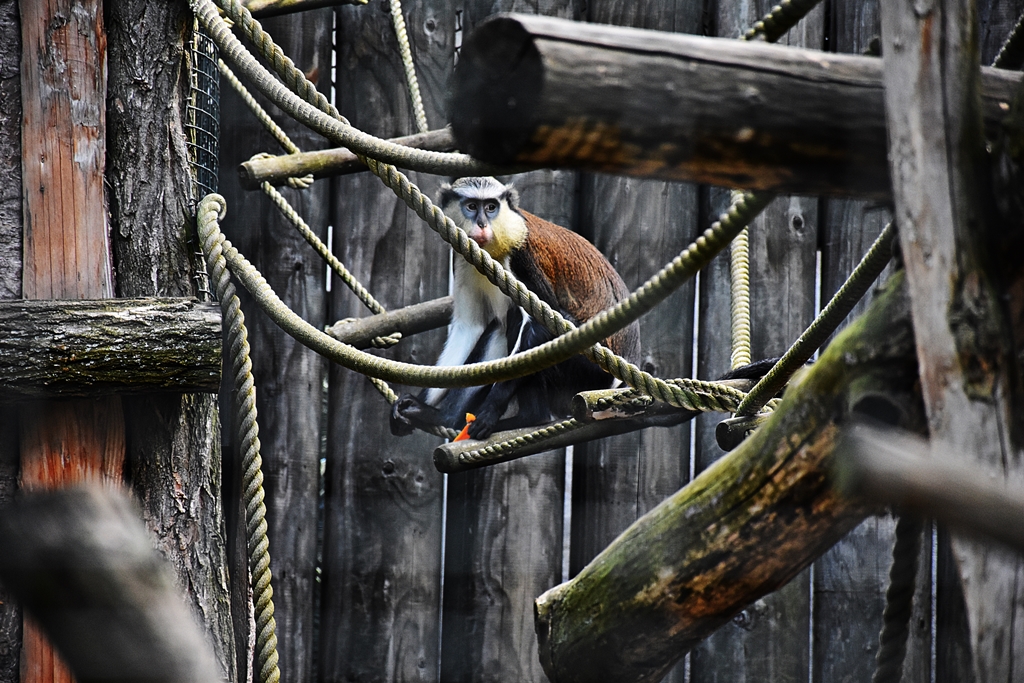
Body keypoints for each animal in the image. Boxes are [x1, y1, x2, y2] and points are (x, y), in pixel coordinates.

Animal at [390, 176, 641, 440]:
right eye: (471, 206)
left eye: (491, 207)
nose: (482, 224)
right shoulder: (461, 257)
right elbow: (469, 328)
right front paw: (425, 408)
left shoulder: (522, 256)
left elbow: (542, 322)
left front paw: (488, 411)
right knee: (501, 327)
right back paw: (442, 417)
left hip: (589, 371)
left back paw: (531, 417)